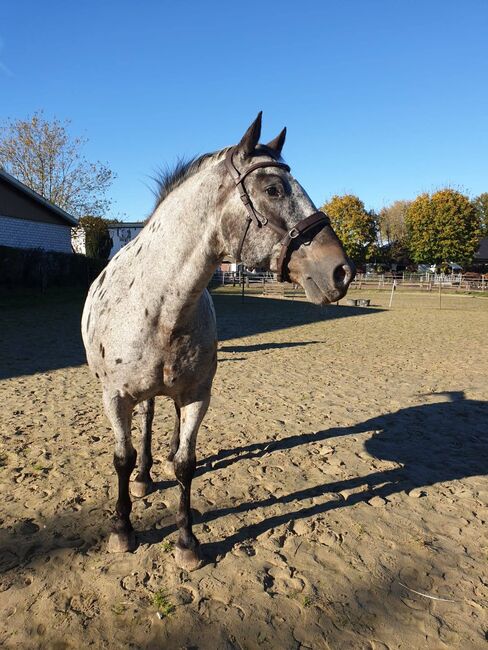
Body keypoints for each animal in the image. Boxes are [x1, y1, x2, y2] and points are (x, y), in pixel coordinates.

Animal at [83, 112, 354, 568]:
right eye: (273, 188)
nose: (341, 272)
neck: (158, 307)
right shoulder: (115, 397)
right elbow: (122, 458)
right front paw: (122, 529)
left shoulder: (197, 395)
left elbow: (185, 464)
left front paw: (186, 541)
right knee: (146, 422)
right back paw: (142, 478)